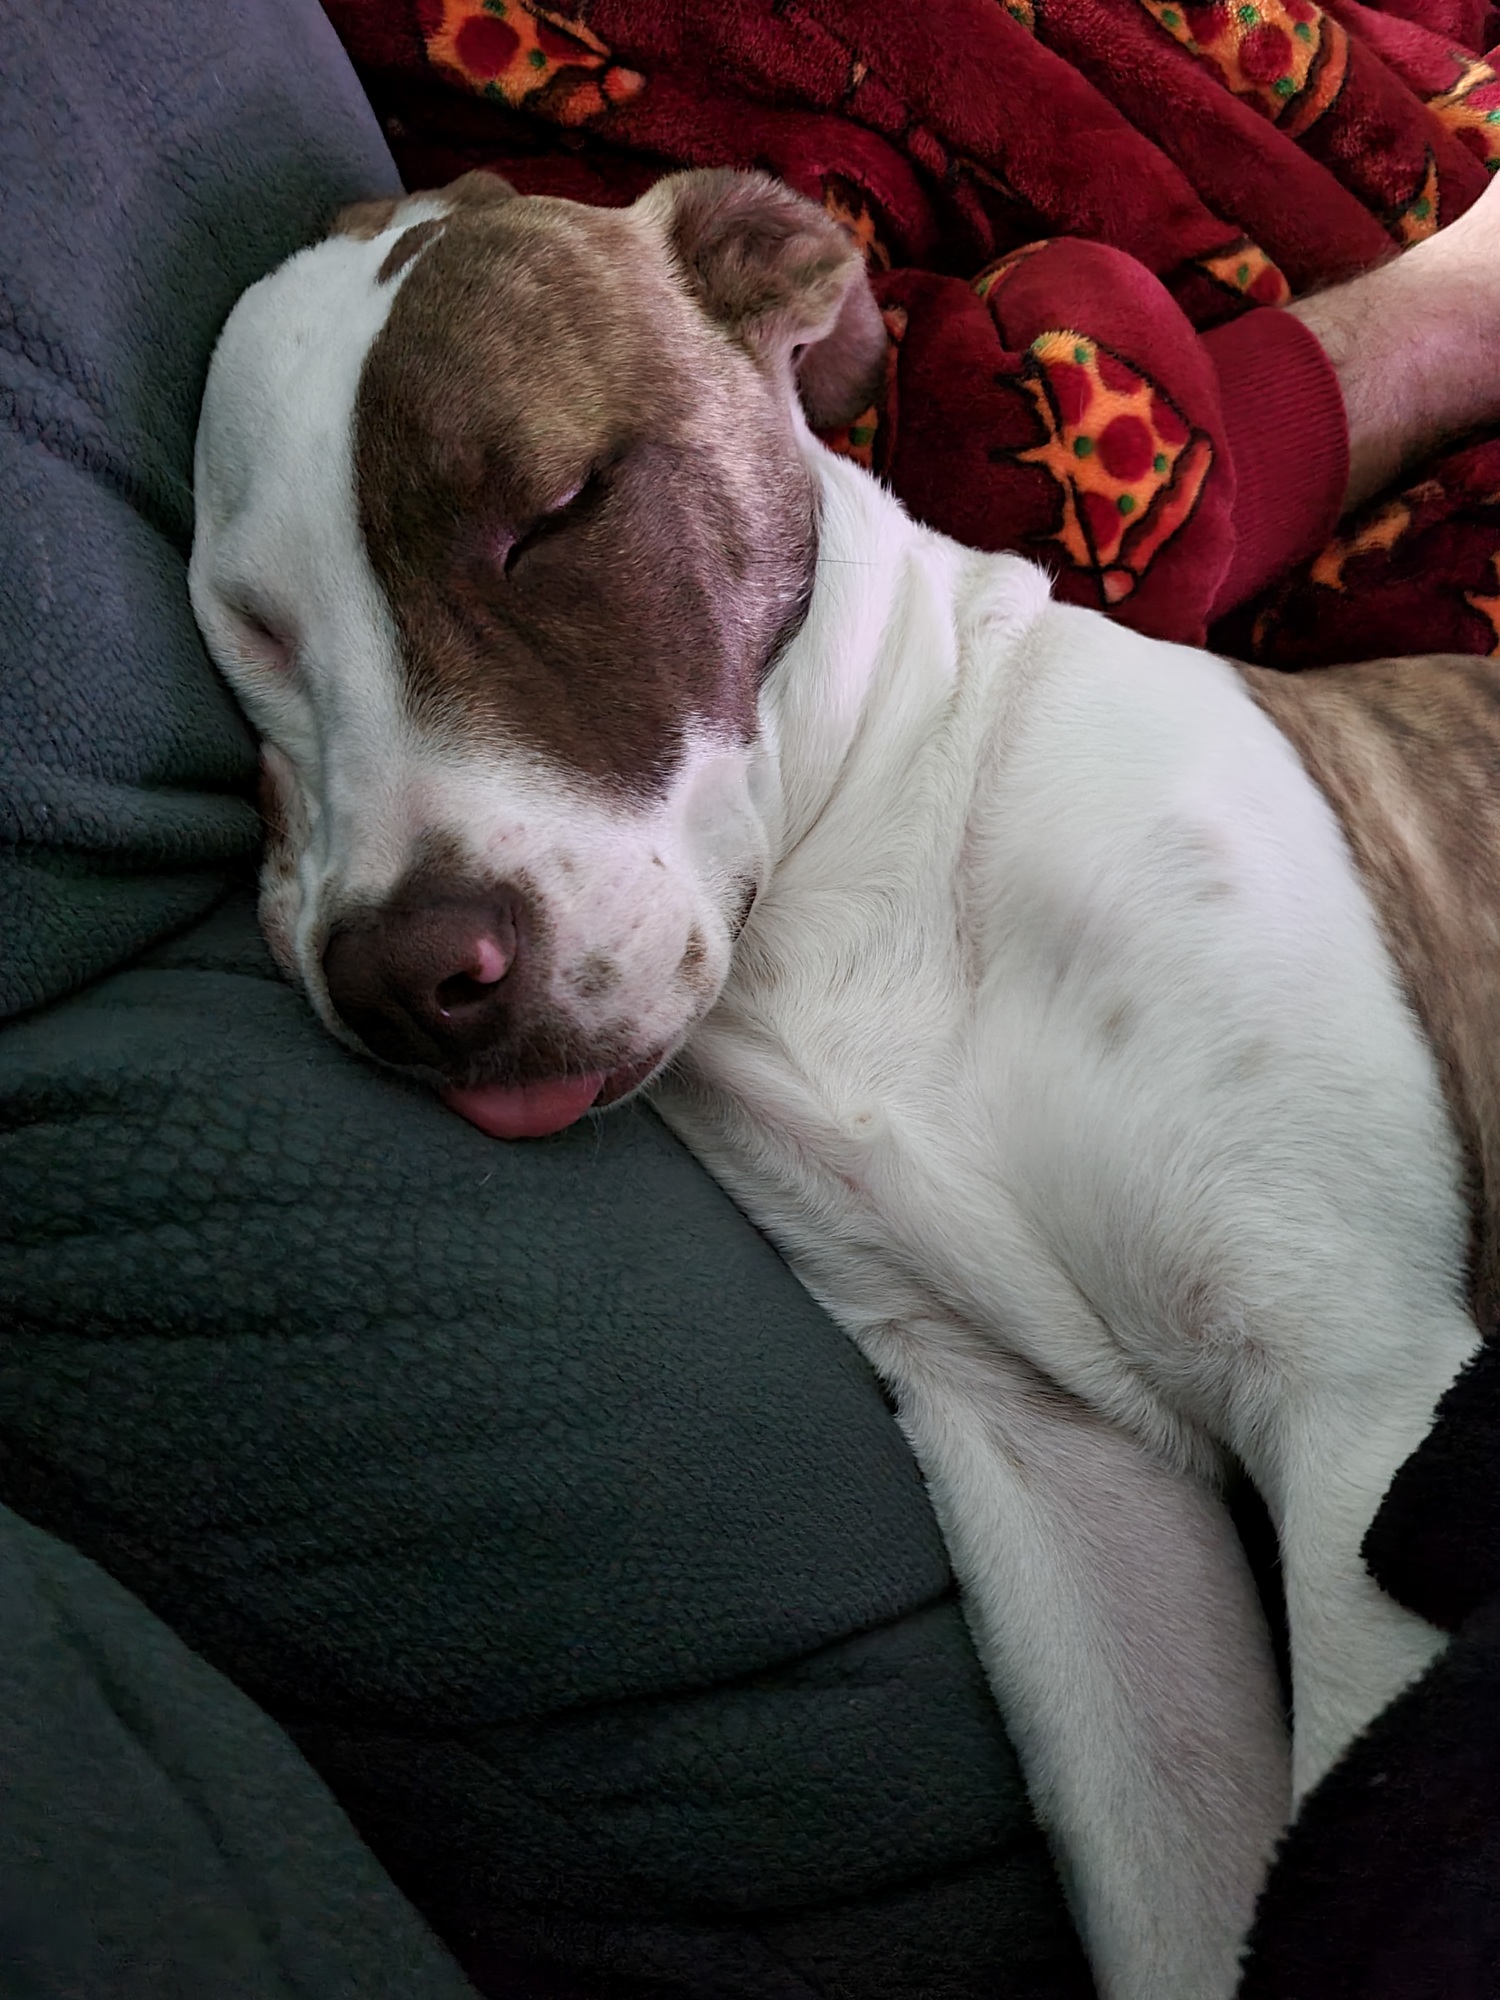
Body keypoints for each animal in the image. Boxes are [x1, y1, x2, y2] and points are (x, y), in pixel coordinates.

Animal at [188, 168, 1500, 2000]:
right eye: (250, 625)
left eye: (559, 514)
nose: (405, 979)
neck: (864, 878)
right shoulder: (1059, 1473)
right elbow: (1184, 1906)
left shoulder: (1362, 1402)